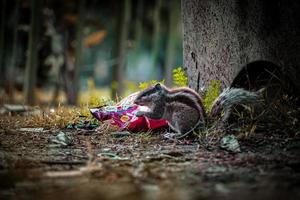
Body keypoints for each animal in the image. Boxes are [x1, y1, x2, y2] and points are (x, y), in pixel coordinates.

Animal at [134, 83, 262, 139]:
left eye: (146, 93)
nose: (134, 101)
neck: (162, 96)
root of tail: (204, 125)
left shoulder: (160, 105)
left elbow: (156, 115)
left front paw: (139, 112)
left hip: (179, 117)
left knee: (185, 133)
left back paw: (173, 135)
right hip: (172, 122)